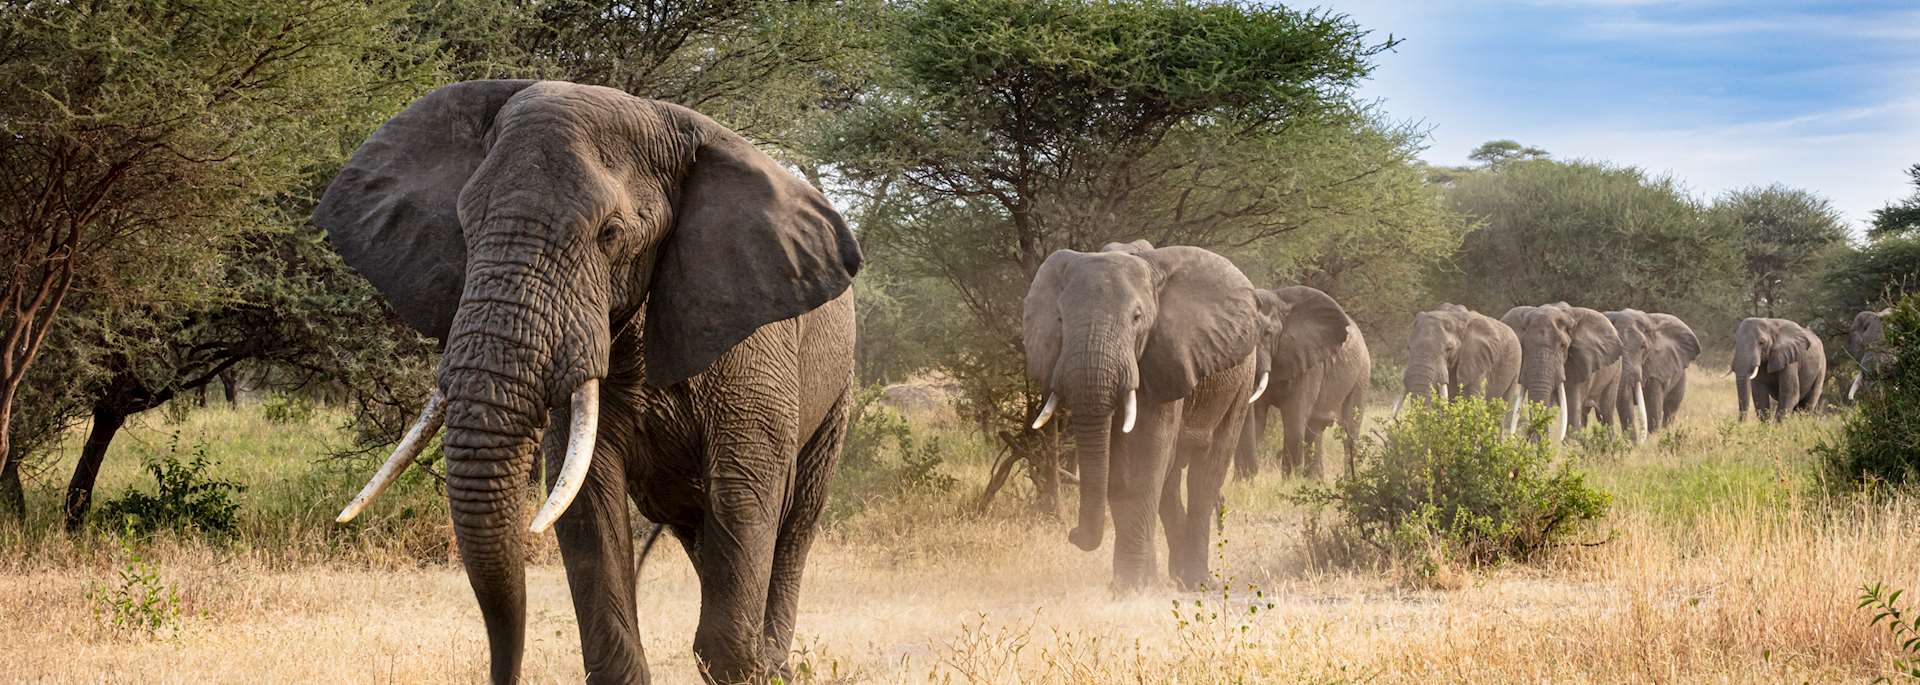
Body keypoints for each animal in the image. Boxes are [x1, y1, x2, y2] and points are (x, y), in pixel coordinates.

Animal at [314, 80, 862, 685]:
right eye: (464, 228)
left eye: (611, 234)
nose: (503, 673)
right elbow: (586, 498)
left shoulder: (753, 343)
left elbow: (744, 486)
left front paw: (750, 666)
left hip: (839, 388)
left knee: (795, 520)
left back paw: (777, 661)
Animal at [1023, 242, 1257, 591]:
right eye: (1061, 319)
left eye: (1137, 318)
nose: (1072, 534)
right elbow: (1121, 470)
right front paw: (1133, 584)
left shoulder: (1164, 356)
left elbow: (1147, 453)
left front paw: (1129, 587)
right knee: (1170, 480)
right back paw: (1172, 576)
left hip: (1242, 376)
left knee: (1207, 470)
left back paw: (1197, 583)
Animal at [1233, 286, 1368, 480]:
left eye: (1267, 333)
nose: (1253, 473)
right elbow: (1257, 417)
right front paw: (1244, 482)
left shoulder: (1310, 364)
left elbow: (1294, 419)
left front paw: (1289, 483)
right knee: (1315, 429)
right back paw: (1314, 481)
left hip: (1361, 374)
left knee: (1349, 432)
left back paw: (1350, 481)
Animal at [1596, 310, 1701, 441]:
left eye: (1643, 347)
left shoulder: (1656, 366)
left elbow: (1653, 410)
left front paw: (1651, 441)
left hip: (1680, 377)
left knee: (1670, 410)